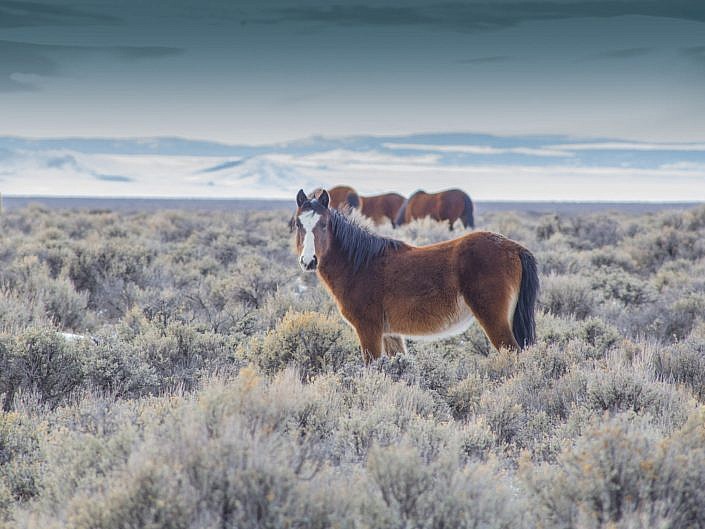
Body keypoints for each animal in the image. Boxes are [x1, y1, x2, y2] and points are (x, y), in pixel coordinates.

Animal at [292, 187, 540, 364]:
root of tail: (515, 248)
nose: (309, 261)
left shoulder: (369, 331)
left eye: (324, 224)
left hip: (495, 322)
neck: (359, 264)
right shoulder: (390, 335)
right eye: (298, 224)